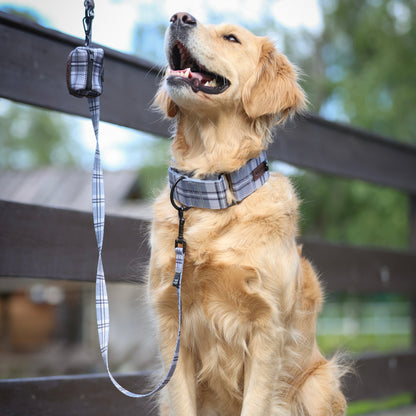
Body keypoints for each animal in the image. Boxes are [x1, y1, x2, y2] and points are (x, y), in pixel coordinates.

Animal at [148, 11, 346, 414]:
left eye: (231, 38)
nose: (179, 17)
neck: (212, 191)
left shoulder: (267, 328)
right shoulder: (170, 320)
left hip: (317, 385)